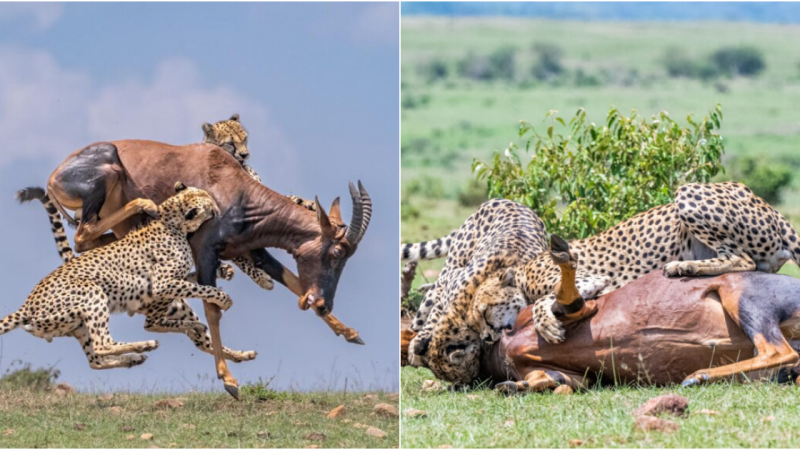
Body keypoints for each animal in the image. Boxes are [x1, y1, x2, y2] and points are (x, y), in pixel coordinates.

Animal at [1, 183, 253, 370]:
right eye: (209, 205)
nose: (218, 208)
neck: (170, 219)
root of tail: (27, 305)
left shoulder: (172, 281)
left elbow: (192, 278)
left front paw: (224, 271)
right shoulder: (161, 285)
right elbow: (202, 288)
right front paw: (223, 299)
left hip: (77, 324)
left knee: (96, 359)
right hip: (93, 294)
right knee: (107, 343)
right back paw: (144, 346)